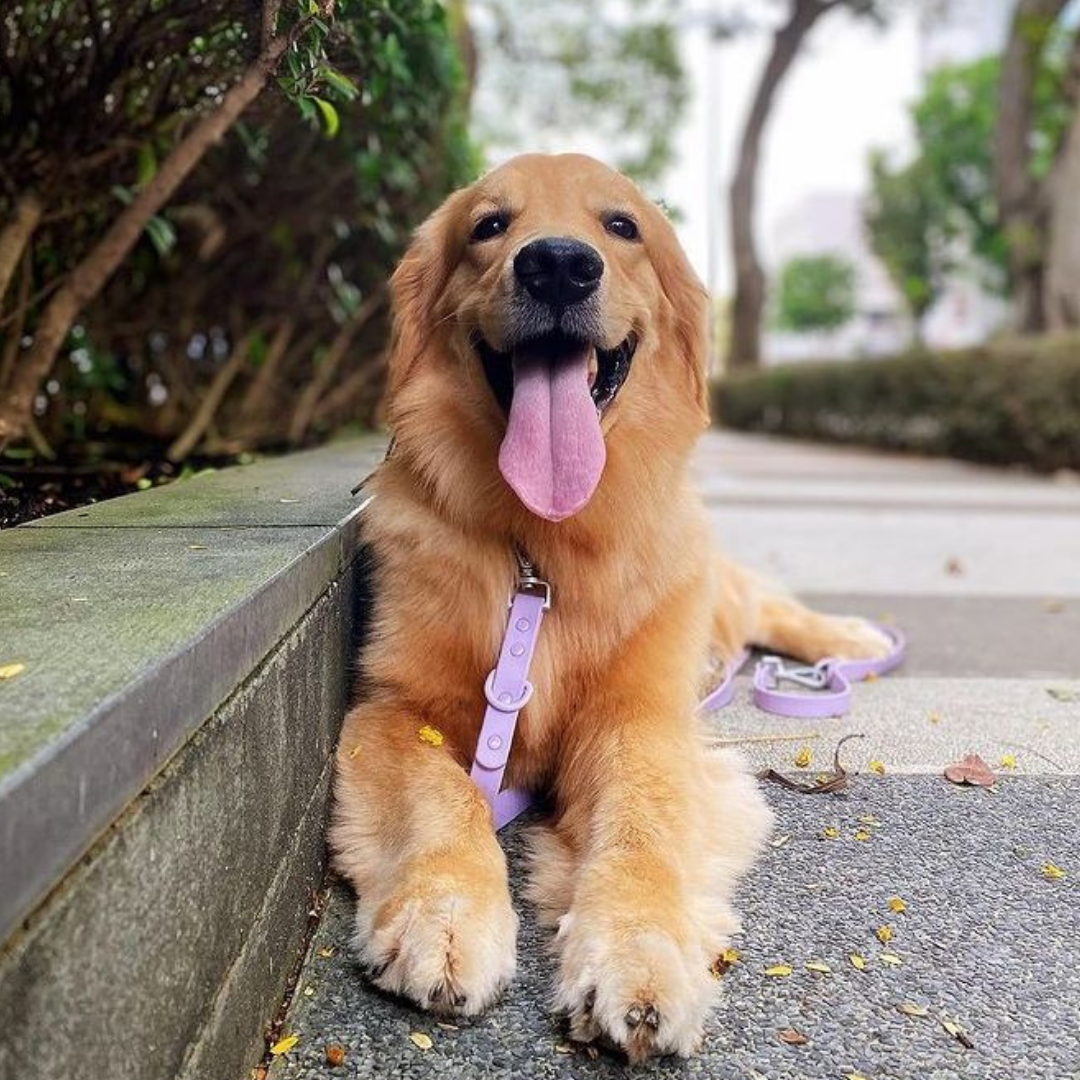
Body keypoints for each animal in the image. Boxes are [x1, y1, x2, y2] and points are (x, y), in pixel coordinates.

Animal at [330, 154, 894, 1062]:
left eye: (622, 226)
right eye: (489, 225)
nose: (558, 264)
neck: (544, 549)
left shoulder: (643, 720)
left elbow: (643, 826)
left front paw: (640, 953)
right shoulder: (391, 708)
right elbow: (444, 800)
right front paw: (444, 917)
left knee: (777, 612)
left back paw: (849, 636)